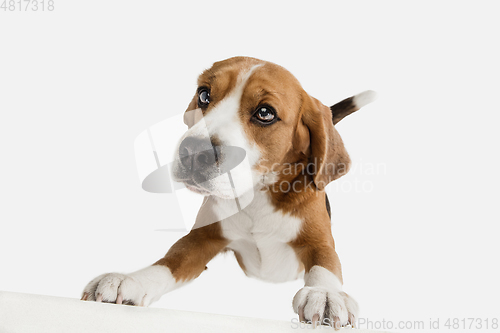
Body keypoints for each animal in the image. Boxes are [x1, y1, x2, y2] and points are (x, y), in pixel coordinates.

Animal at [81, 56, 376, 326]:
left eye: (265, 113)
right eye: (203, 94)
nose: (192, 151)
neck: (256, 194)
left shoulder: (319, 242)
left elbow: (325, 266)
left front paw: (326, 294)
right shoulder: (202, 239)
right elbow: (169, 261)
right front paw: (131, 280)